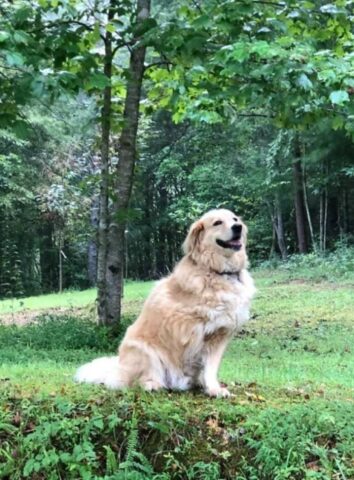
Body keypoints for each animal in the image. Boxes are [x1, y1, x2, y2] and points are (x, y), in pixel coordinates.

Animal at [76, 208, 256, 396]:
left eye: (235, 219)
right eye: (217, 222)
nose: (238, 227)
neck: (218, 271)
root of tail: (116, 369)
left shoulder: (220, 335)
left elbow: (210, 368)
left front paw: (211, 387)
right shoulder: (205, 331)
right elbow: (208, 367)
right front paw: (214, 390)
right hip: (146, 352)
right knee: (140, 380)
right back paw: (153, 385)